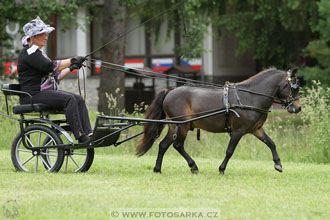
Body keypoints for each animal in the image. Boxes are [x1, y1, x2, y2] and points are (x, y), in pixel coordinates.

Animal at [136, 68, 302, 174]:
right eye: (294, 86)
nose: (298, 108)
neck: (251, 97)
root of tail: (170, 91)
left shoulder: (256, 129)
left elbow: (271, 143)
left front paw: (278, 164)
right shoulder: (238, 131)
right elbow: (229, 151)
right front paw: (221, 169)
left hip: (174, 126)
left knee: (163, 145)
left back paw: (157, 169)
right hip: (182, 126)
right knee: (177, 145)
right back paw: (193, 166)